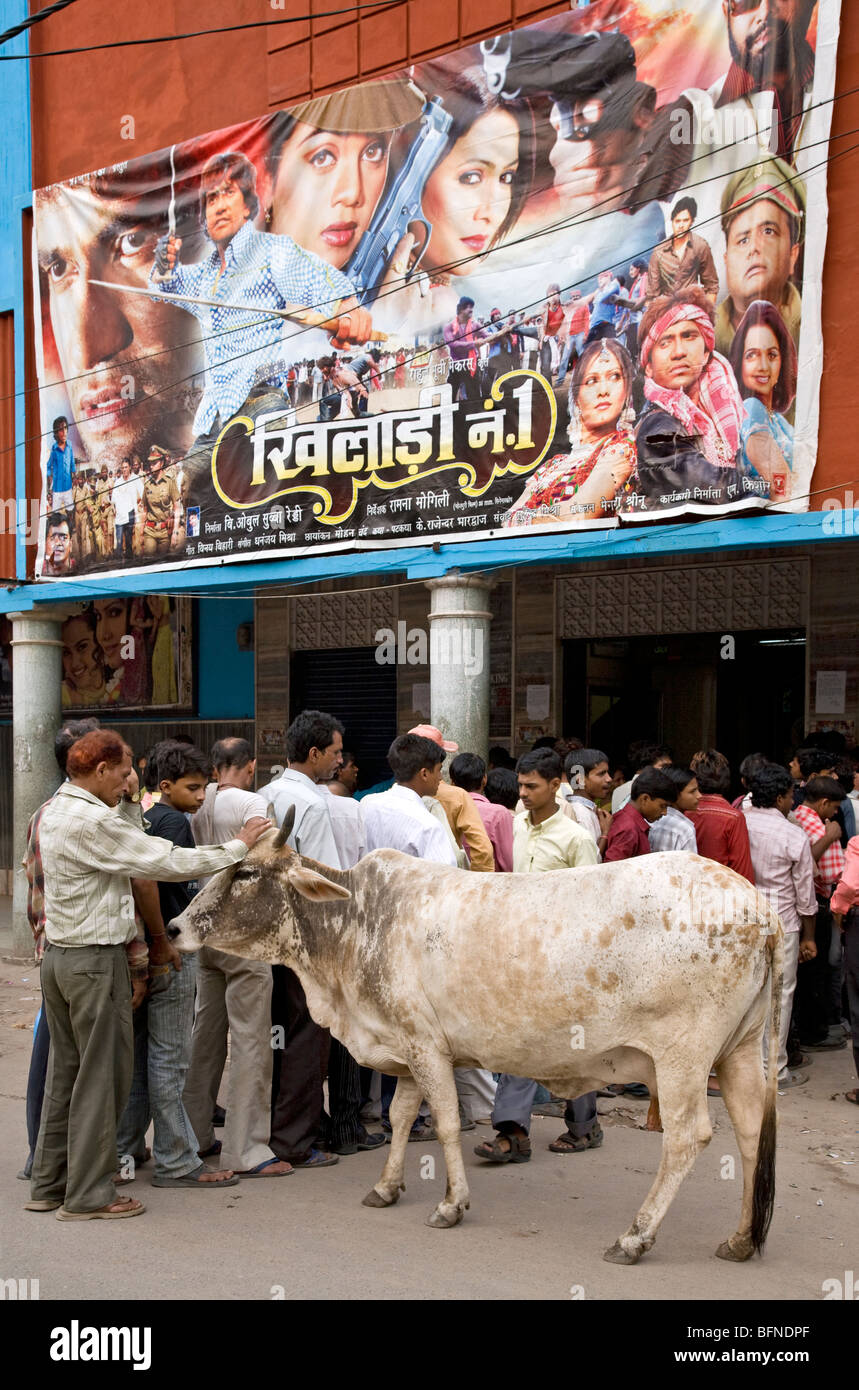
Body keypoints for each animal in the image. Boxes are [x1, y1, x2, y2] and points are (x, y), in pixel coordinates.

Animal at [170, 811, 778, 1267]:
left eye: (246, 873)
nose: (175, 927)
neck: (356, 921)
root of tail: (757, 904)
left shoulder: (426, 1047)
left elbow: (443, 1123)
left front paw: (451, 1204)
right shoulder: (406, 1049)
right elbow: (399, 1117)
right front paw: (387, 1188)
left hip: (683, 1058)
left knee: (687, 1138)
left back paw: (635, 1237)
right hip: (740, 1050)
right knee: (750, 1131)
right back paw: (740, 1239)